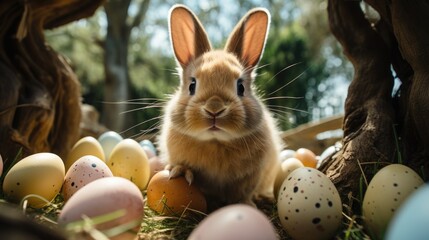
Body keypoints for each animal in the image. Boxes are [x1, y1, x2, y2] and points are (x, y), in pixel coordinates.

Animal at [156, 3, 280, 210]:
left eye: (240, 87)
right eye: (192, 85)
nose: (214, 109)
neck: (215, 143)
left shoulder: (251, 177)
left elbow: (243, 192)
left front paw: (246, 204)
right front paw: (180, 171)